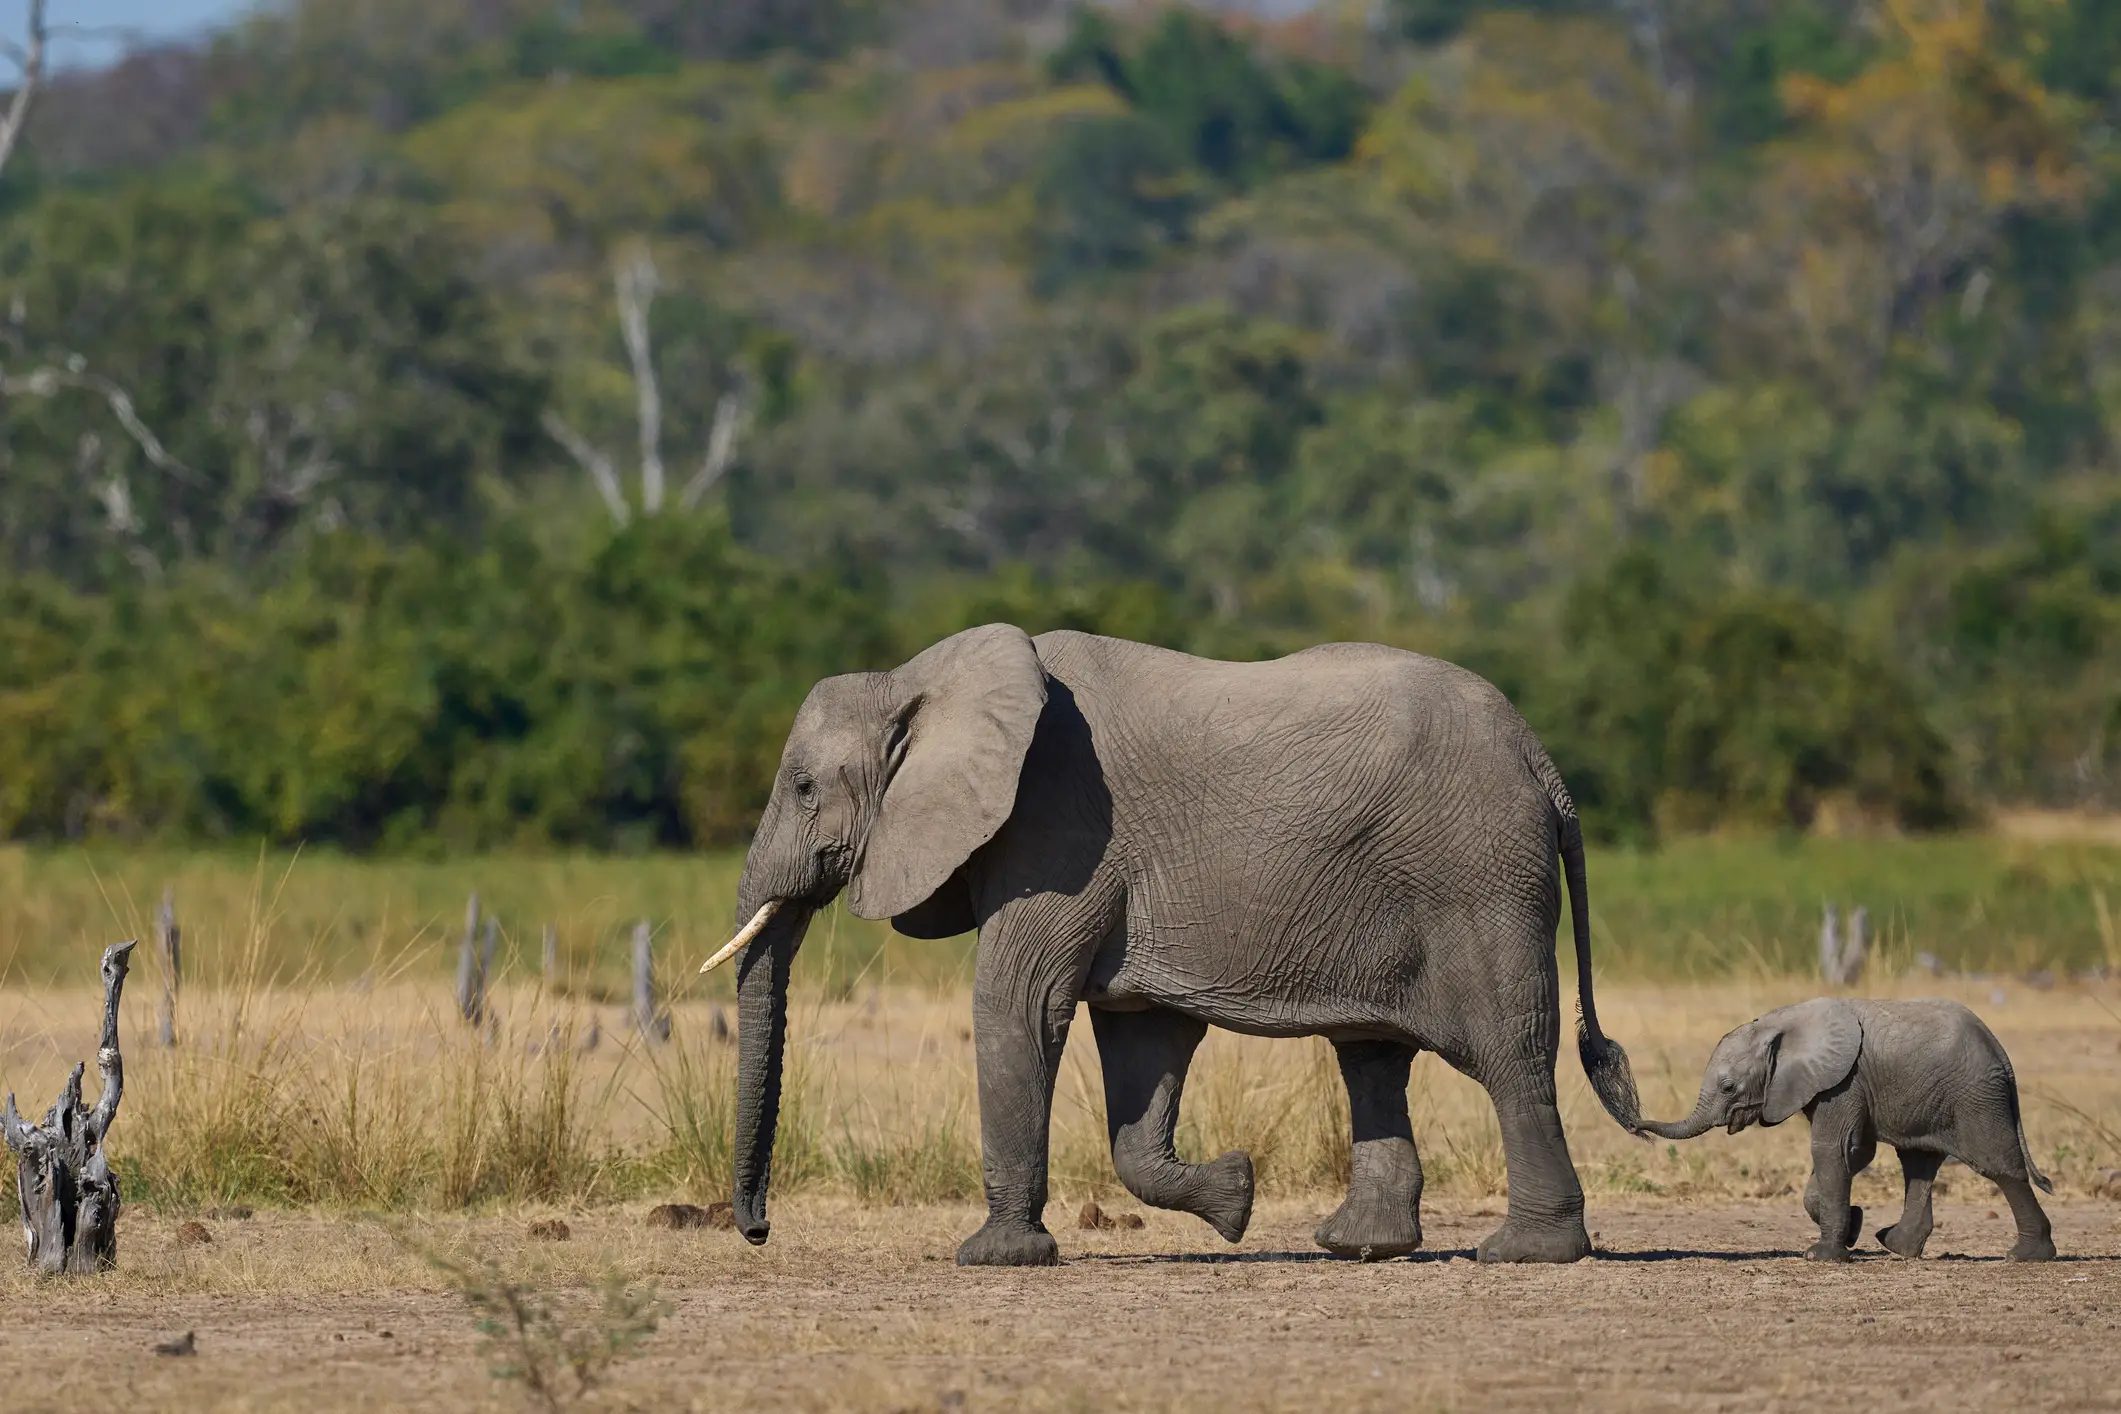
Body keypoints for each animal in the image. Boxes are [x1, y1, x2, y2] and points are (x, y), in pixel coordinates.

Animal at [702, 625, 1644, 1267]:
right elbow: (1138, 1040)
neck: (920, 680)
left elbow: (1018, 1005)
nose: (756, 1229)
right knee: (1372, 1055)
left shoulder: (1057, 832)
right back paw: (1356, 1245)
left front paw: (994, 1258)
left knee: (1506, 1049)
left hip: (1477, 877)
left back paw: (1523, 1252)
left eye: (803, 786)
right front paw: (1235, 1199)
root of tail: (1542, 762)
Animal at [1637, 998, 2055, 1263]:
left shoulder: (1842, 1082)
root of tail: (2001, 1053)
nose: (1638, 1124)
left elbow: (1831, 1149)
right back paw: (1895, 1246)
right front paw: (1852, 1226)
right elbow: (1854, 1153)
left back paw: (2026, 1256)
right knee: (1918, 1164)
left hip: (1975, 1097)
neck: (1779, 1024)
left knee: (1998, 1166)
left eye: (1728, 1087)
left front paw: (1821, 1256)